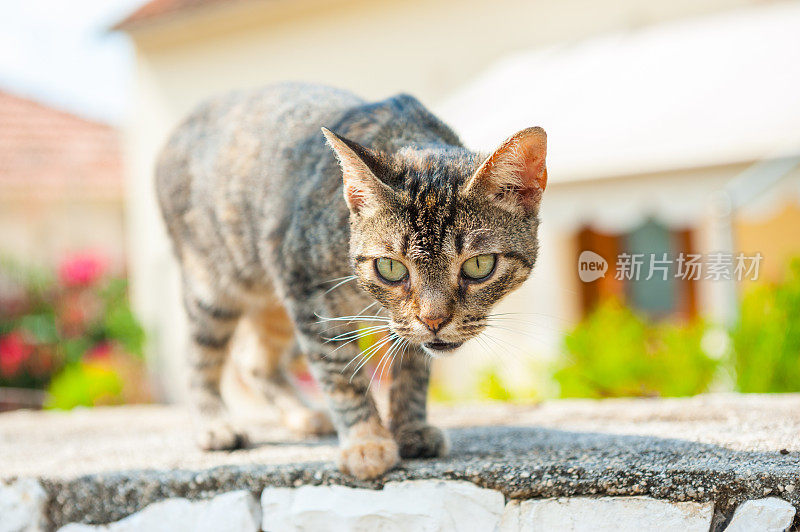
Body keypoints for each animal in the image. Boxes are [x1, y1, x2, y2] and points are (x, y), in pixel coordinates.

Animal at [155, 82, 544, 478]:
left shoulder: (386, 320)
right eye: (391, 268)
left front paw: (410, 428)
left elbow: (413, 365)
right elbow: (341, 374)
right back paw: (215, 425)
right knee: (199, 356)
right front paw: (367, 441)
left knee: (255, 361)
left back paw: (304, 414)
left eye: (479, 265)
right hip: (213, 285)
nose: (434, 320)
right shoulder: (310, 298)